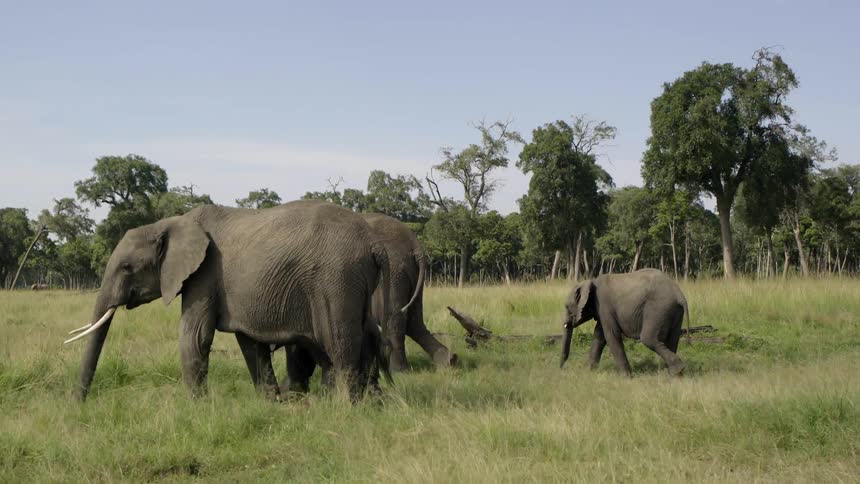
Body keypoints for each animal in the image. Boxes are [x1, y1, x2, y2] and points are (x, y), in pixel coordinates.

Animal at [65, 200, 392, 401]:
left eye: (126, 267)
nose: (77, 404)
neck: (171, 223)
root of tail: (374, 243)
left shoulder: (205, 273)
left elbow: (194, 336)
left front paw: (195, 407)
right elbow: (249, 343)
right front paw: (270, 402)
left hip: (336, 280)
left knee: (339, 343)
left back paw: (345, 408)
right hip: (356, 284)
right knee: (363, 335)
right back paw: (371, 403)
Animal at [559, 268, 689, 376]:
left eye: (567, 307)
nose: (562, 368)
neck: (590, 281)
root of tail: (679, 294)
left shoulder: (604, 305)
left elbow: (611, 335)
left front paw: (626, 377)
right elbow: (599, 336)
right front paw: (589, 372)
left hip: (658, 308)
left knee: (649, 339)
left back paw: (677, 370)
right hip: (673, 311)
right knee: (672, 340)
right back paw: (674, 375)